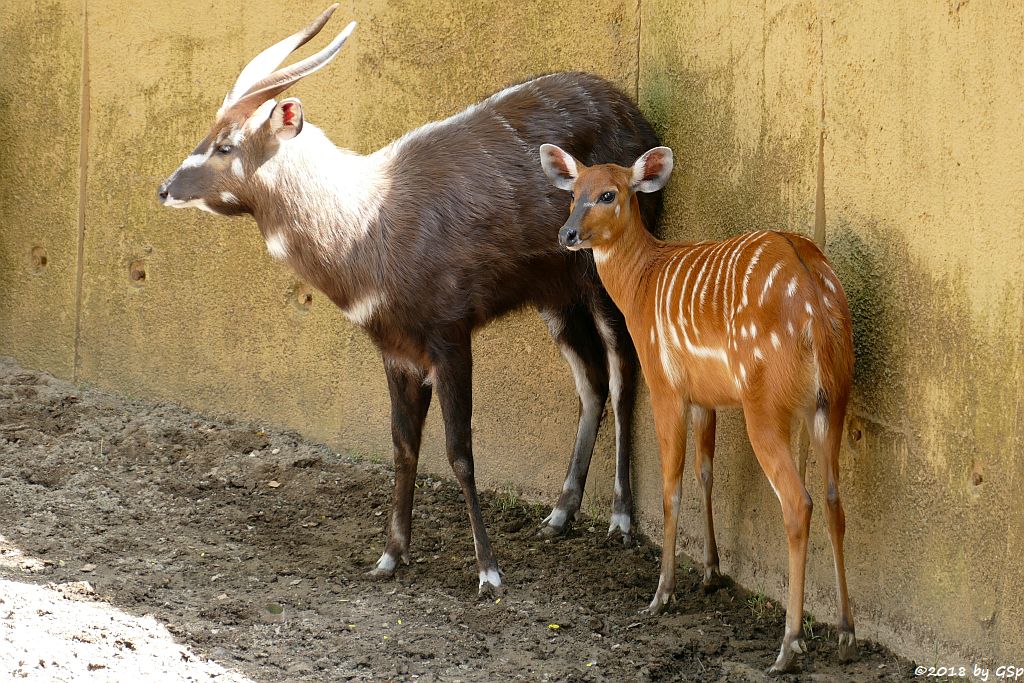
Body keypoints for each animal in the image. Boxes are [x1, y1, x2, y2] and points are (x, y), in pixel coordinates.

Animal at [154, 5, 659, 593]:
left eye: (227, 144)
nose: (165, 189)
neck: (368, 221)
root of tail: (633, 112)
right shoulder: (396, 350)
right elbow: (402, 444)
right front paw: (390, 556)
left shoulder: (450, 337)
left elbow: (460, 451)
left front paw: (489, 573)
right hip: (552, 296)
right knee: (592, 378)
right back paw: (559, 514)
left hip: (601, 283)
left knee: (623, 373)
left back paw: (621, 518)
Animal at [540, 144, 860, 671]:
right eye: (572, 193)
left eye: (609, 193)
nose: (567, 234)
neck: (642, 282)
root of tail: (817, 305)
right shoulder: (704, 398)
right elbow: (704, 470)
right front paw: (711, 572)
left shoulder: (666, 385)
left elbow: (671, 485)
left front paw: (661, 594)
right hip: (832, 402)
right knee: (834, 498)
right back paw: (846, 632)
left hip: (764, 403)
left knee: (799, 501)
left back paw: (788, 645)